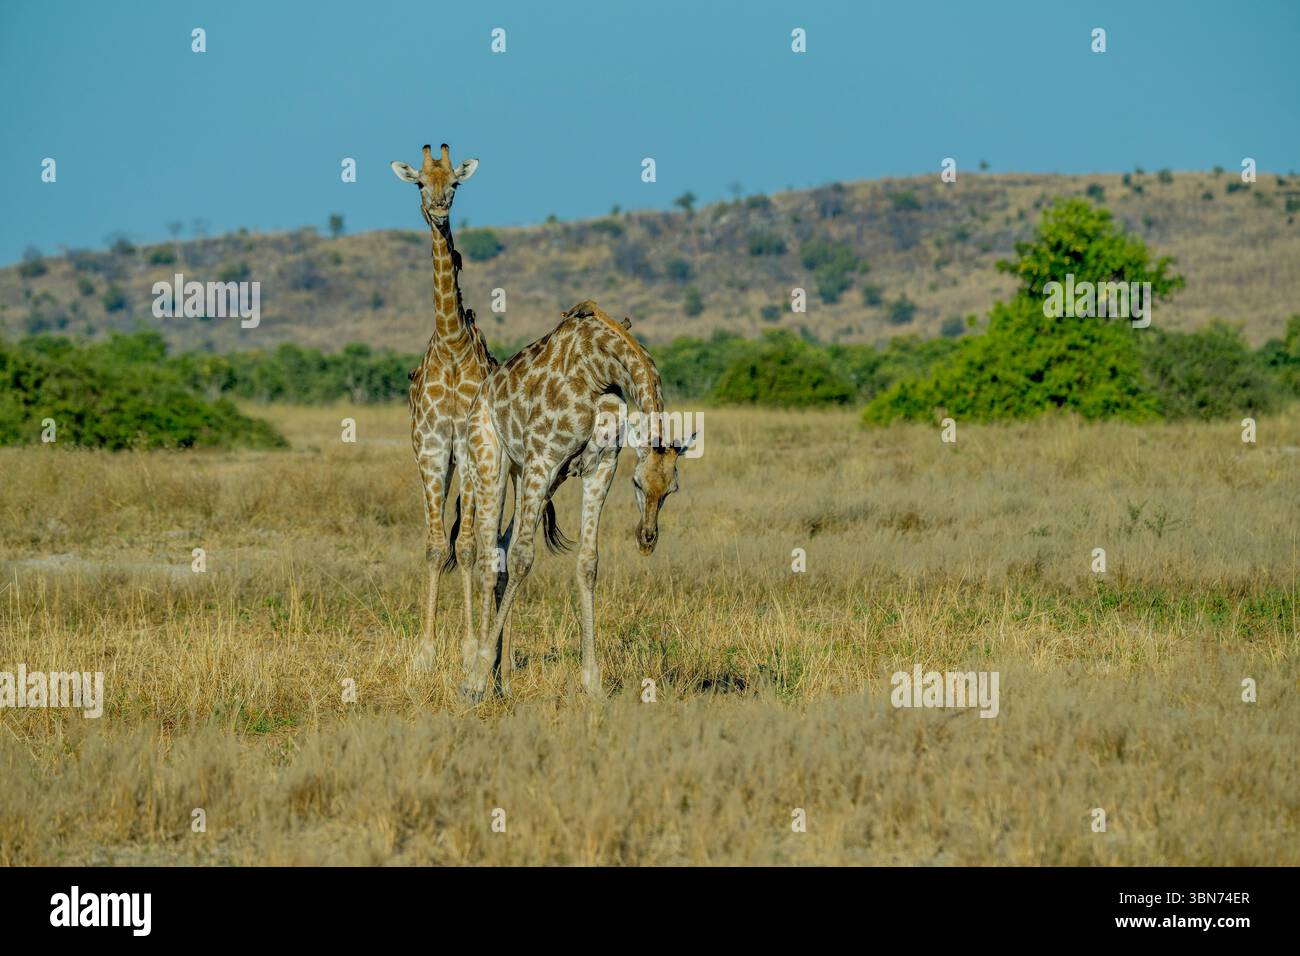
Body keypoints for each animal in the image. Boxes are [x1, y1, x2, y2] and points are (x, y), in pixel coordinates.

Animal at [463, 299, 695, 701]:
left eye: (671, 490)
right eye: (637, 483)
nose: (647, 539)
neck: (599, 370)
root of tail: (482, 393)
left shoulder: (600, 464)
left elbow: (588, 563)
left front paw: (593, 682)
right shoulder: (543, 458)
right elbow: (524, 558)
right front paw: (477, 678)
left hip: (532, 476)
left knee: (504, 545)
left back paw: (502, 679)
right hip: (491, 459)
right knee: (491, 556)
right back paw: (479, 675)